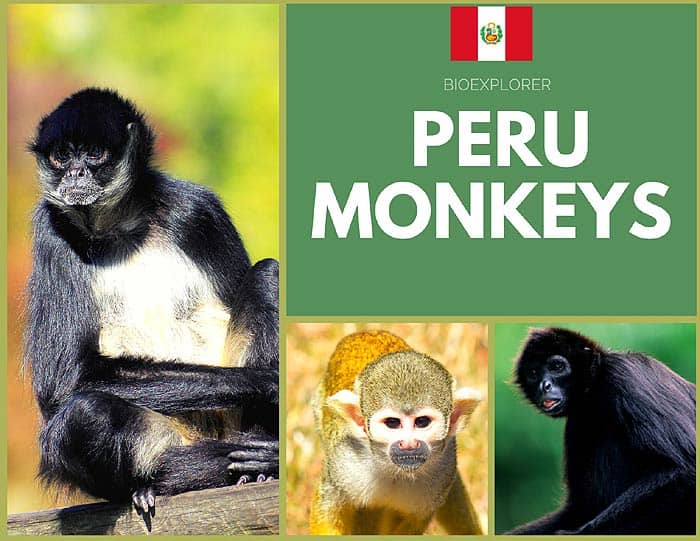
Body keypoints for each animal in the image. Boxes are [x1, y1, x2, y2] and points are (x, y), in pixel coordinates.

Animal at [25, 88, 279, 514]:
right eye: (61, 156)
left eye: (93, 154)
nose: (74, 174)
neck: (120, 227)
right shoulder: (50, 230)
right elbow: (66, 387)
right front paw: (268, 379)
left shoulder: (197, 209)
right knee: (85, 414)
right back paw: (154, 482)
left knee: (267, 275)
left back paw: (259, 462)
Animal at [309, 330, 482, 535]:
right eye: (392, 423)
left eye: (422, 422)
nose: (409, 443)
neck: (394, 471)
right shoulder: (344, 463)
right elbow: (328, 509)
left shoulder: (443, 473)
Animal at [507, 327, 695, 535]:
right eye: (533, 373)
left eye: (557, 367)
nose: (544, 386)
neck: (597, 384)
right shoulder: (578, 419)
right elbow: (578, 509)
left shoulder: (624, 376)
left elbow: (684, 469)